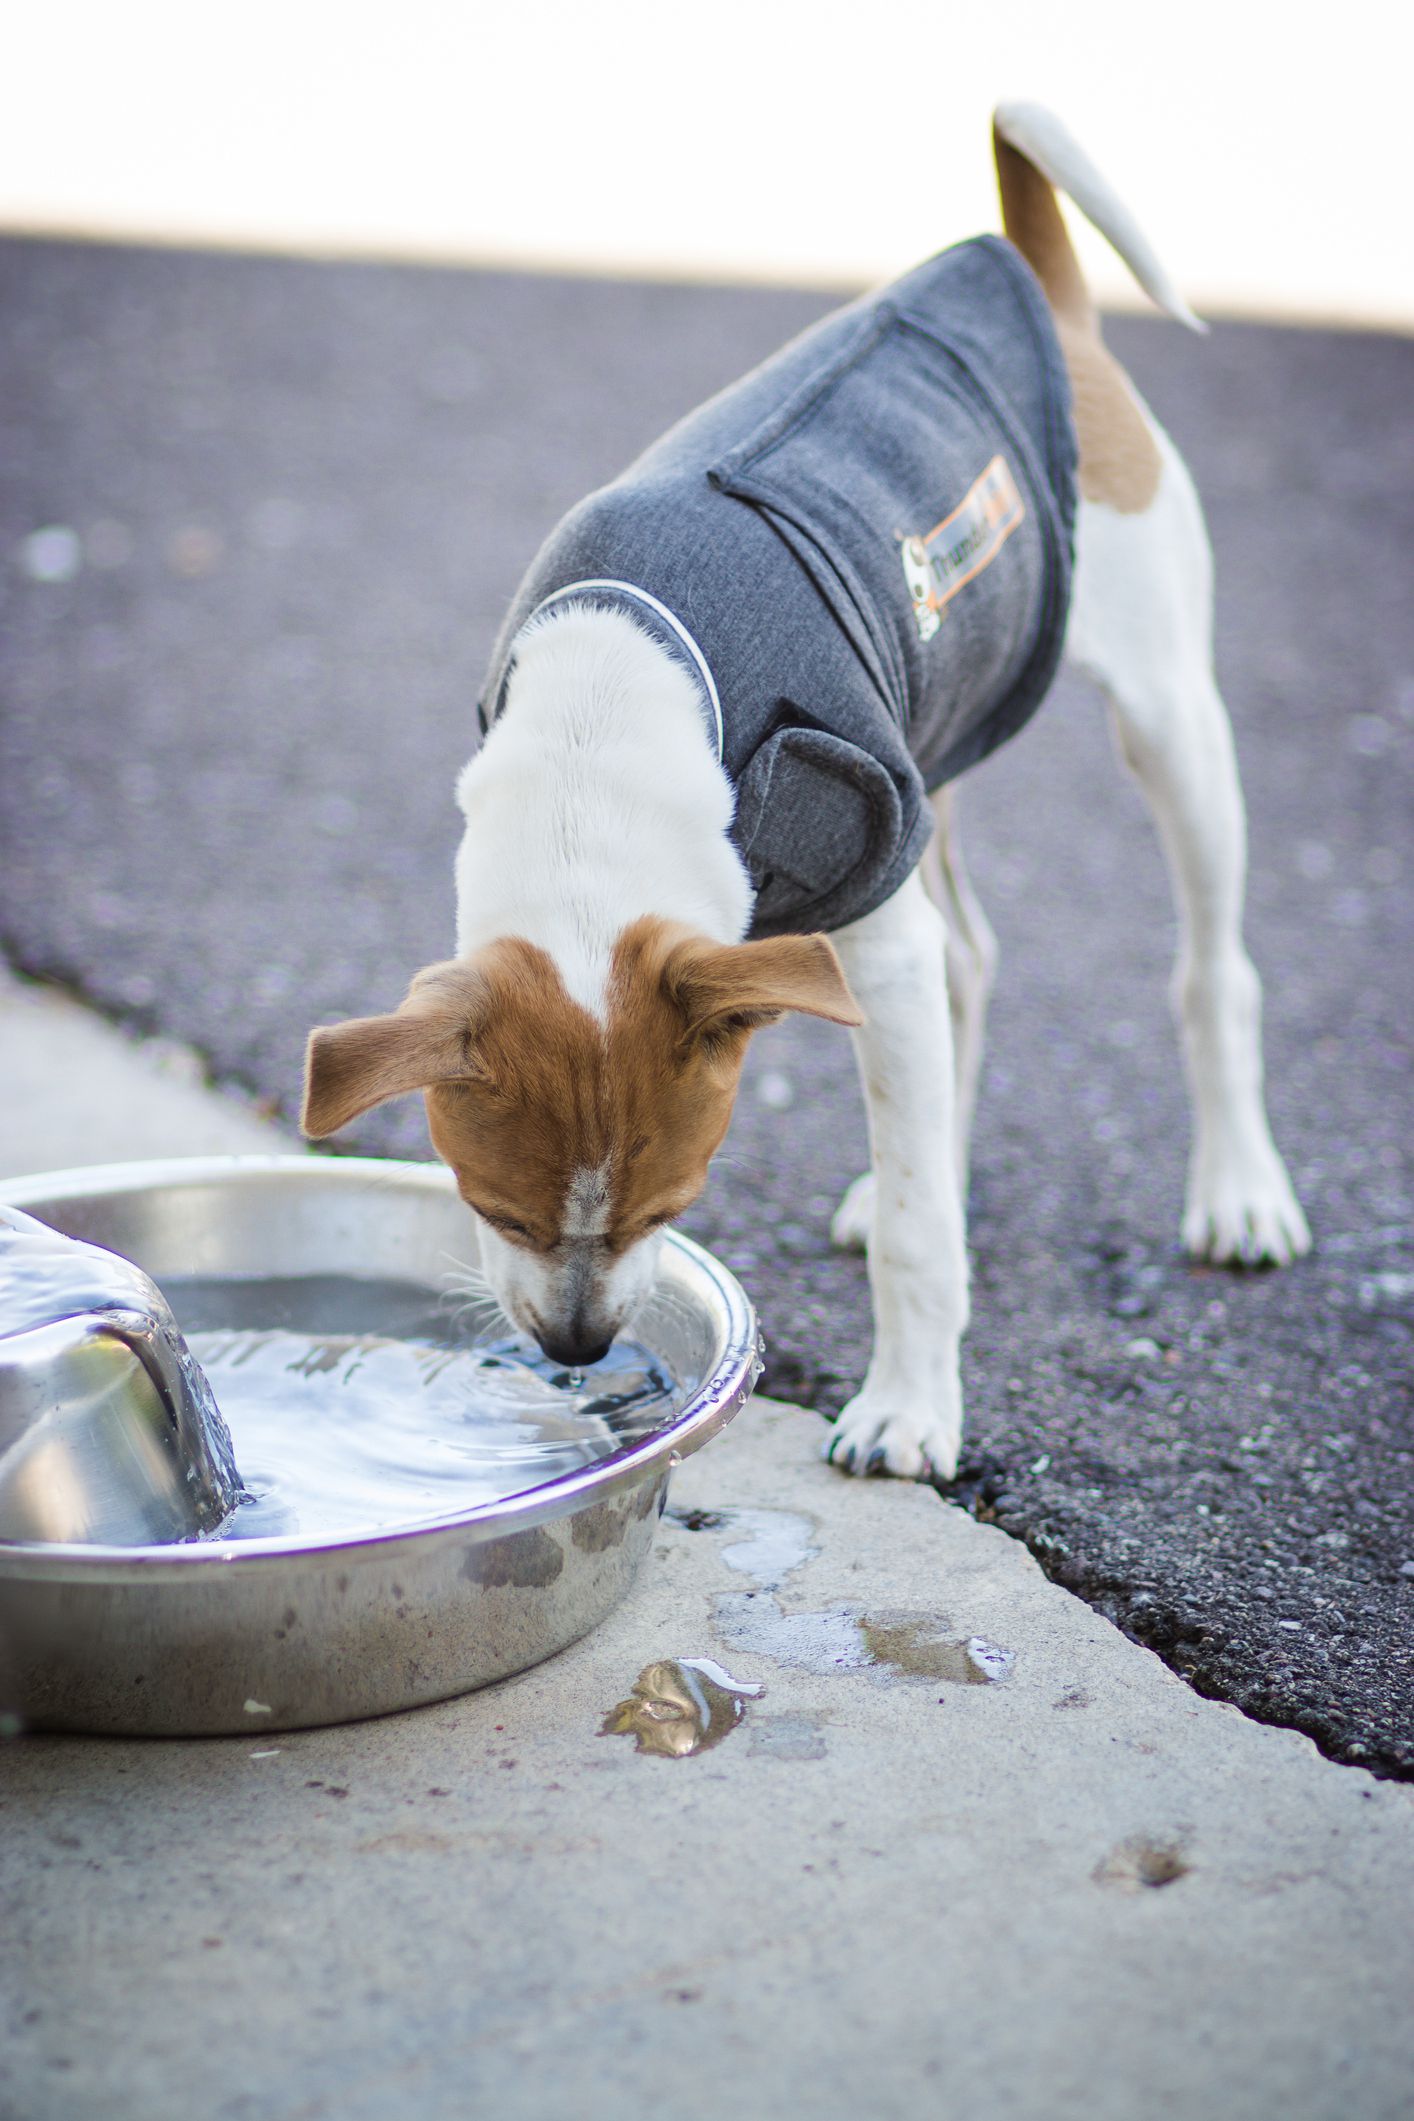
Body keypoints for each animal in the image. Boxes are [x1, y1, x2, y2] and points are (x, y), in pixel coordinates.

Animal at [305, 107, 1314, 1484]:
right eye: (491, 1206)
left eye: (675, 1206)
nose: (576, 1350)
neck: (604, 732)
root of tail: (1026, 277)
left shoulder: (867, 911)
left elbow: (919, 1237)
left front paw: (908, 1409)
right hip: (936, 744)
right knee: (971, 963)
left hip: (1166, 725)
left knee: (1211, 973)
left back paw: (1238, 1192)